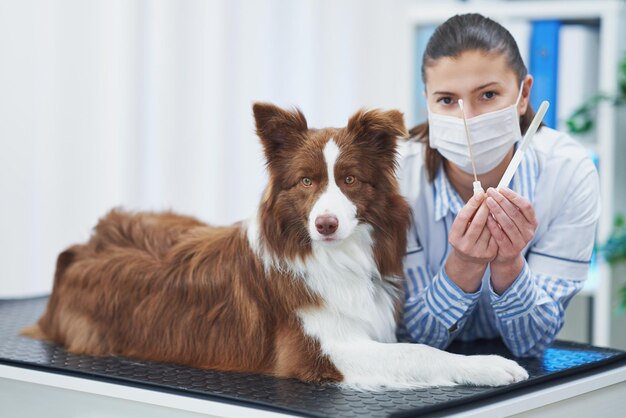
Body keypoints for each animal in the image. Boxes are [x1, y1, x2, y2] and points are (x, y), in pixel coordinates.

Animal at [23, 103, 528, 388]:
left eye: (349, 180)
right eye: (305, 181)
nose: (325, 223)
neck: (332, 256)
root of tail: (82, 246)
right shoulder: (320, 353)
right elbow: (418, 352)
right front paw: (492, 365)